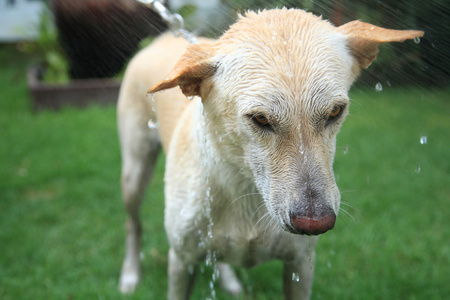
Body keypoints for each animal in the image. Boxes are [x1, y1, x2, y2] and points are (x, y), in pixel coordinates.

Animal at [117, 8, 422, 298]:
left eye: (336, 112)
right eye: (260, 119)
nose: (315, 223)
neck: (246, 194)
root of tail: (165, 37)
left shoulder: (300, 265)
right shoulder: (182, 262)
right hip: (134, 174)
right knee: (133, 226)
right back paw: (130, 275)